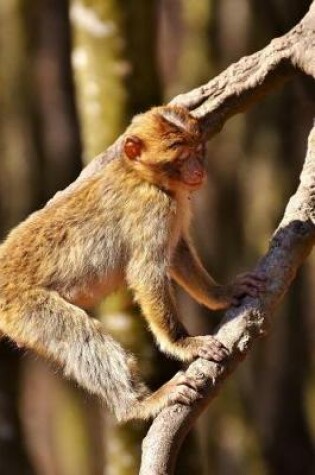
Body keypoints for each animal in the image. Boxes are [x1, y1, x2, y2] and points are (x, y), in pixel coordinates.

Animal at [0, 106, 266, 422]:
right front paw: (183, 344)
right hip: (24, 306)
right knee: (80, 335)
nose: (199, 171)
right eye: (180, 154)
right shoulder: (154, 208)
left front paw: (220, 293)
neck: (146, 178)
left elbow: (176, 252)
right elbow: (146, 272)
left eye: (198, 150)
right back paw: (138, 404)